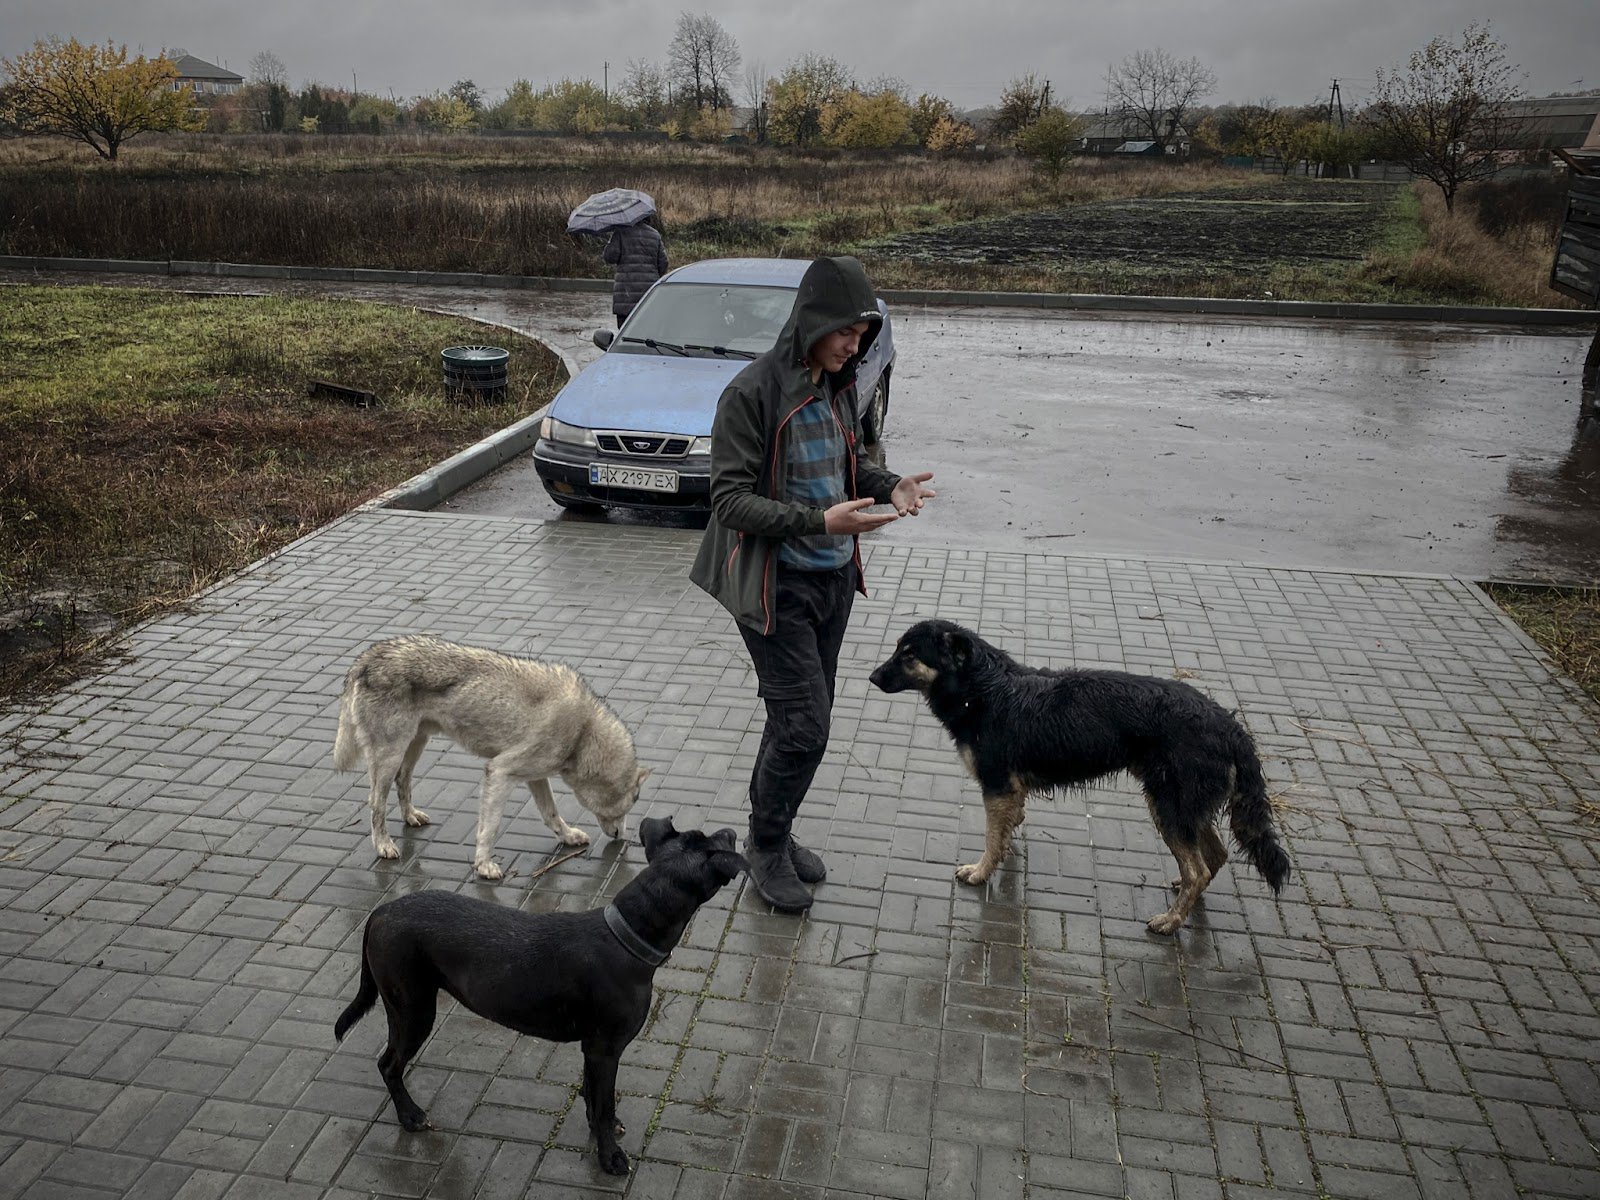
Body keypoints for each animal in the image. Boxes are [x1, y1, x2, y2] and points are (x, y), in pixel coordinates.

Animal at [332, 640, 649, 883]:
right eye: (632, 803)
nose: (622, 837)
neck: (583, 732)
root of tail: (365, 658)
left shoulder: (535, 776)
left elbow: (551, 814)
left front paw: (568, 837)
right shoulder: (499, 772)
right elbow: (490, 827)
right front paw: (484, 865)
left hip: (414, 746)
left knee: (403, 782)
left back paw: (412, 817)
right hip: (391, 757)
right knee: (375, 803)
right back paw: (384, 845)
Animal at [337, 819, 748, 1177]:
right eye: (714, 841)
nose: (732, 830)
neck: (627, 934)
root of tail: (381, 911)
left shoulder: (592, 1050)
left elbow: (593, 1097)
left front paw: (601, 1130)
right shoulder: (606, 1050)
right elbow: (603, 1103)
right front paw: (609, 1157)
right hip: (412, 1011)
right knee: (389, 1065)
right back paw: (410, 1116)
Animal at [870, 620, 1292, 940]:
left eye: (909, 655)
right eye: (897, 649)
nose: (872, 677)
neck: (983, 689)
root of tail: (1229, 726)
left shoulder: (997, 787)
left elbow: (991, 839)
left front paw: (980, 872)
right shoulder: (1010, 791)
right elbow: (1007, 829)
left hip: (1168, 807)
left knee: (1199, 869)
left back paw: (1171, 921)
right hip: (1184, 806)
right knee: (1213, 856)